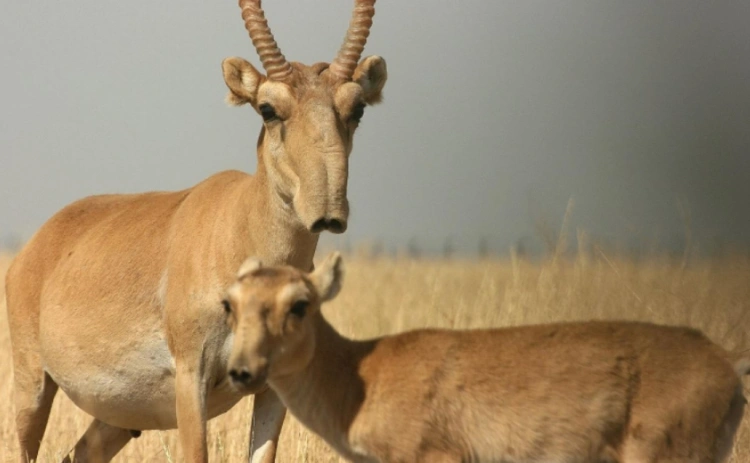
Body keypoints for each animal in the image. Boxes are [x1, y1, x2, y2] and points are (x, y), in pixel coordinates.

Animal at [5, 1, 390, 462]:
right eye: (267, 108)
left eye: (358, 108)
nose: (328, 210)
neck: (238, 225)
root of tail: (36, 246)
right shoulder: (192, 379)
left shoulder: (273, 388)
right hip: (33, 388)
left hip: (116, 420)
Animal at [225, 254, 750, 463]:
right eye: (230, 303)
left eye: (300, 304)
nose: (241, 371)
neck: (359, 378)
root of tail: (727, 360)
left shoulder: (436, 456)